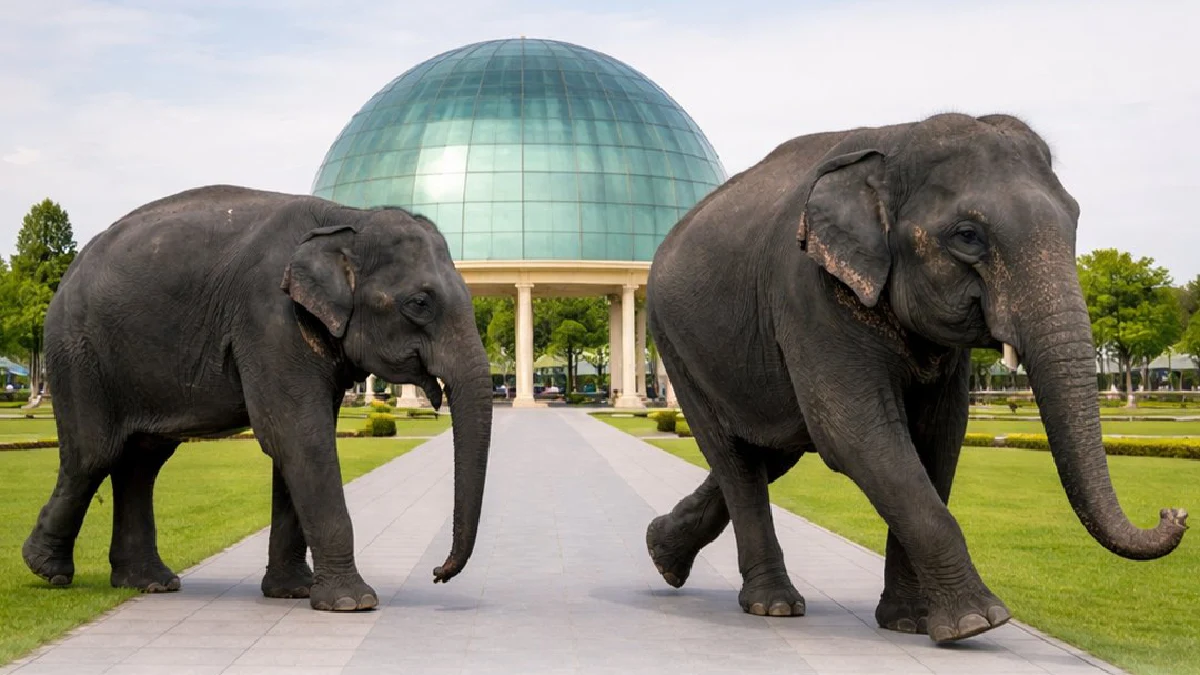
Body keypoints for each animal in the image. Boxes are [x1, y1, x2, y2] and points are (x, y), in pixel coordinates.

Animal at [22, 185, 492, 611]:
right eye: (419, 303)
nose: (438, 573)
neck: (347, 218)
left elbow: (299, 443)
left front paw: (294, 592)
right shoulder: (270, 319)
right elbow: (298, 437)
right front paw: (352, 603)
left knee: (142, 461)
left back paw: (148, 582)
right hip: (79, 353)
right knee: (94, 455)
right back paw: (47, 570)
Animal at [643, 113, 1188, 642]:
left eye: (1074, 219)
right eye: (967, 236)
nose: (1176, 513)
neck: (896, 141)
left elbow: (938, 437)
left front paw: (912, 623)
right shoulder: (807, 293)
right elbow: (859, 436)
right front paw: (979, 622)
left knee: (772, 449)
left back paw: (661, 552)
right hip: (674, 340)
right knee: (735, 457)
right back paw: (772, 605)